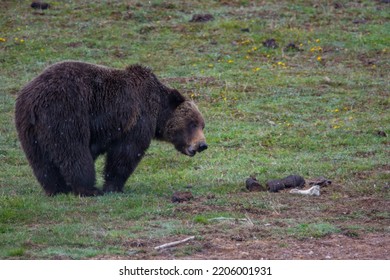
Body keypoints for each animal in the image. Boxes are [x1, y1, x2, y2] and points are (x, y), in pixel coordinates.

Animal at [15, 60, 207, 197]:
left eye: (202, 124)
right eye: (192, 123)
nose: (202, 145)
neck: (158, 111)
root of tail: (34, 101)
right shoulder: (136, 120)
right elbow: (125, 154)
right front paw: (113, 187)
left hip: (28, 127)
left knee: (40, 160)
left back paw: (56, 188)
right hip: (66, 113)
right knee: (74, 151)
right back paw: (88, 189)